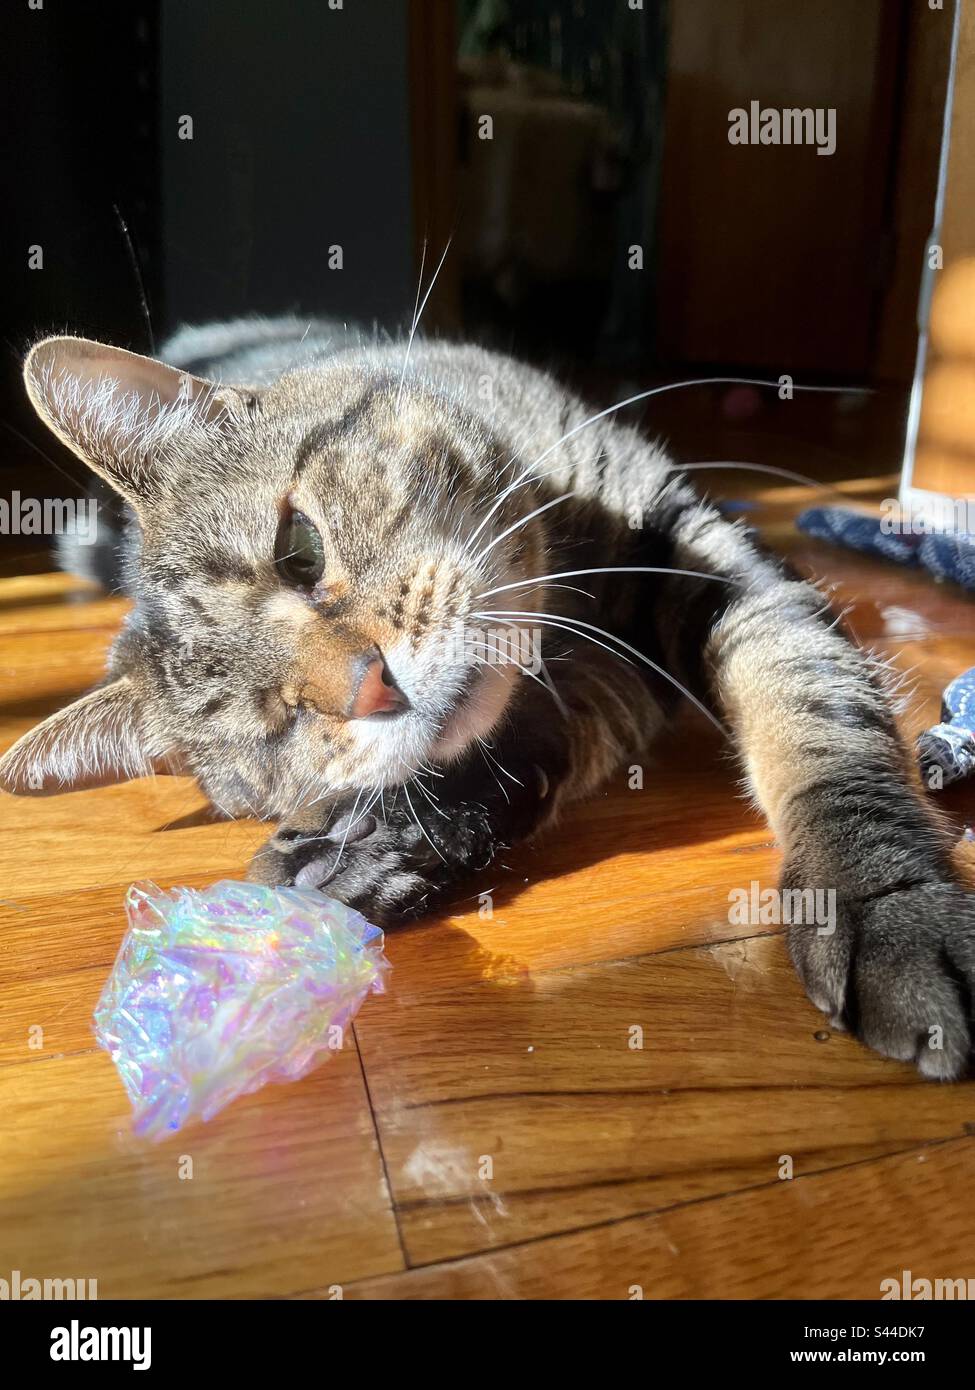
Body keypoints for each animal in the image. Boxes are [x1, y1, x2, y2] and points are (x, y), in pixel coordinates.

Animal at [3, 318, 968, 1073]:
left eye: (299, 550)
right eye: (280, 724)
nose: (367, 688)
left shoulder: (701, 553)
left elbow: (814, 719)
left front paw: (885, 903)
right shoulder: (593, 694)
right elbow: (521, 753)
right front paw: (373, 843)